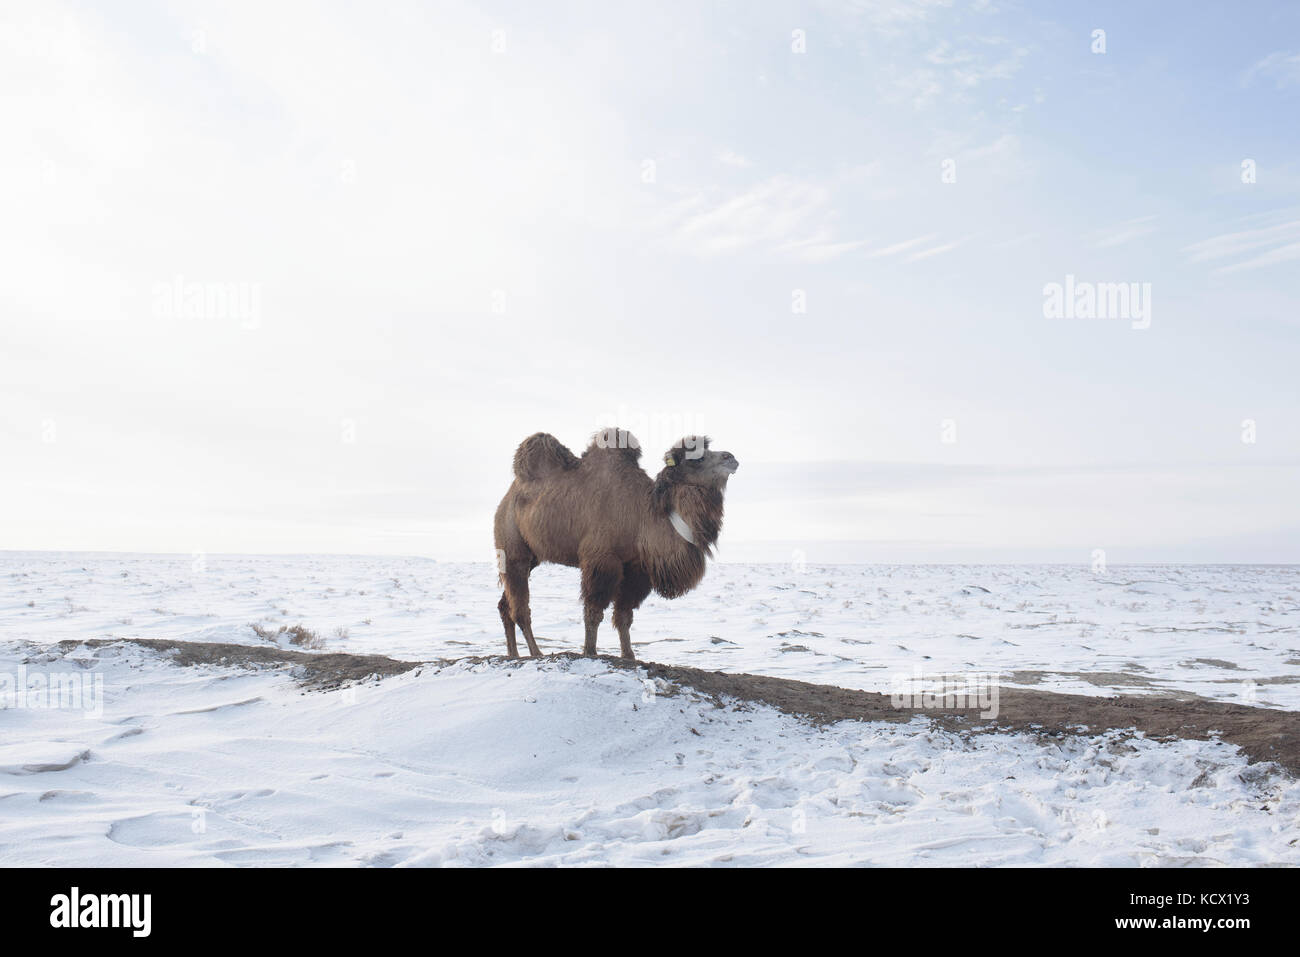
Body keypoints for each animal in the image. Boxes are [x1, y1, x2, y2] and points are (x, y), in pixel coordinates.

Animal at [493, 428, 739, 661]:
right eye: (697, 458)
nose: (731, 458)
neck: (644, 516)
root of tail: (507, 497)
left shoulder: (637, 568)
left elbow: (624, 615)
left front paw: (629, 655)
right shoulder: (602, 559)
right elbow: (594, 610)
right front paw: (590, 651)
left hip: (533, 557)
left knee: (505, 605)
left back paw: (513, 654)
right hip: (512, 549)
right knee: (520, 607)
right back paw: (536, 652)